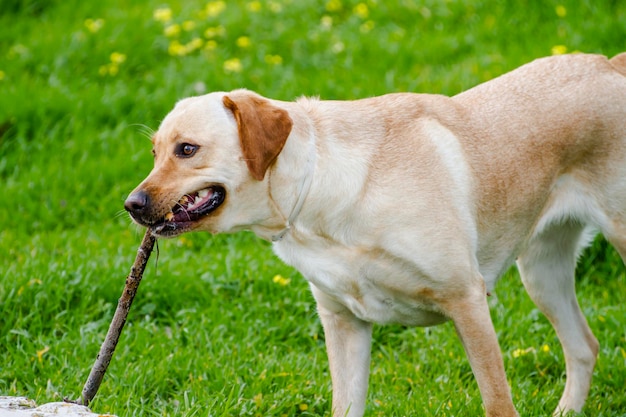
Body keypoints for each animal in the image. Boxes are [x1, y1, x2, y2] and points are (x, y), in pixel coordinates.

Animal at [124, 52, 624, 416]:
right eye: (154, 153)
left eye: (187, 150)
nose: (132, 205)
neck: (316, 187)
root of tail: (608, 64)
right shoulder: (343, 322)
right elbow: (345, 406)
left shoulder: (467, 300)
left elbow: (497, 402)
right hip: (541, 272)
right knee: (583, 347)